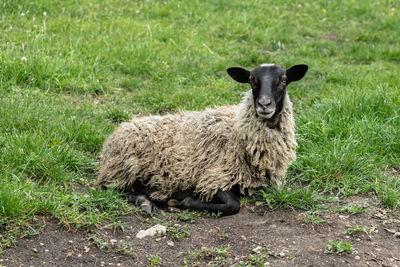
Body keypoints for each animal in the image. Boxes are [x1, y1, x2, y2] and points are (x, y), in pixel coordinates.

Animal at [94, 63, 310, 217]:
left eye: (284, 80)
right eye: (251, 80)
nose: (264, 104)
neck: (238, 131)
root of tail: (115, 135)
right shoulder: (214, 177)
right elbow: (233, 205)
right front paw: (185, 202)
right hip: (124, 168)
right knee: (112, 188)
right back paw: (146, 202)